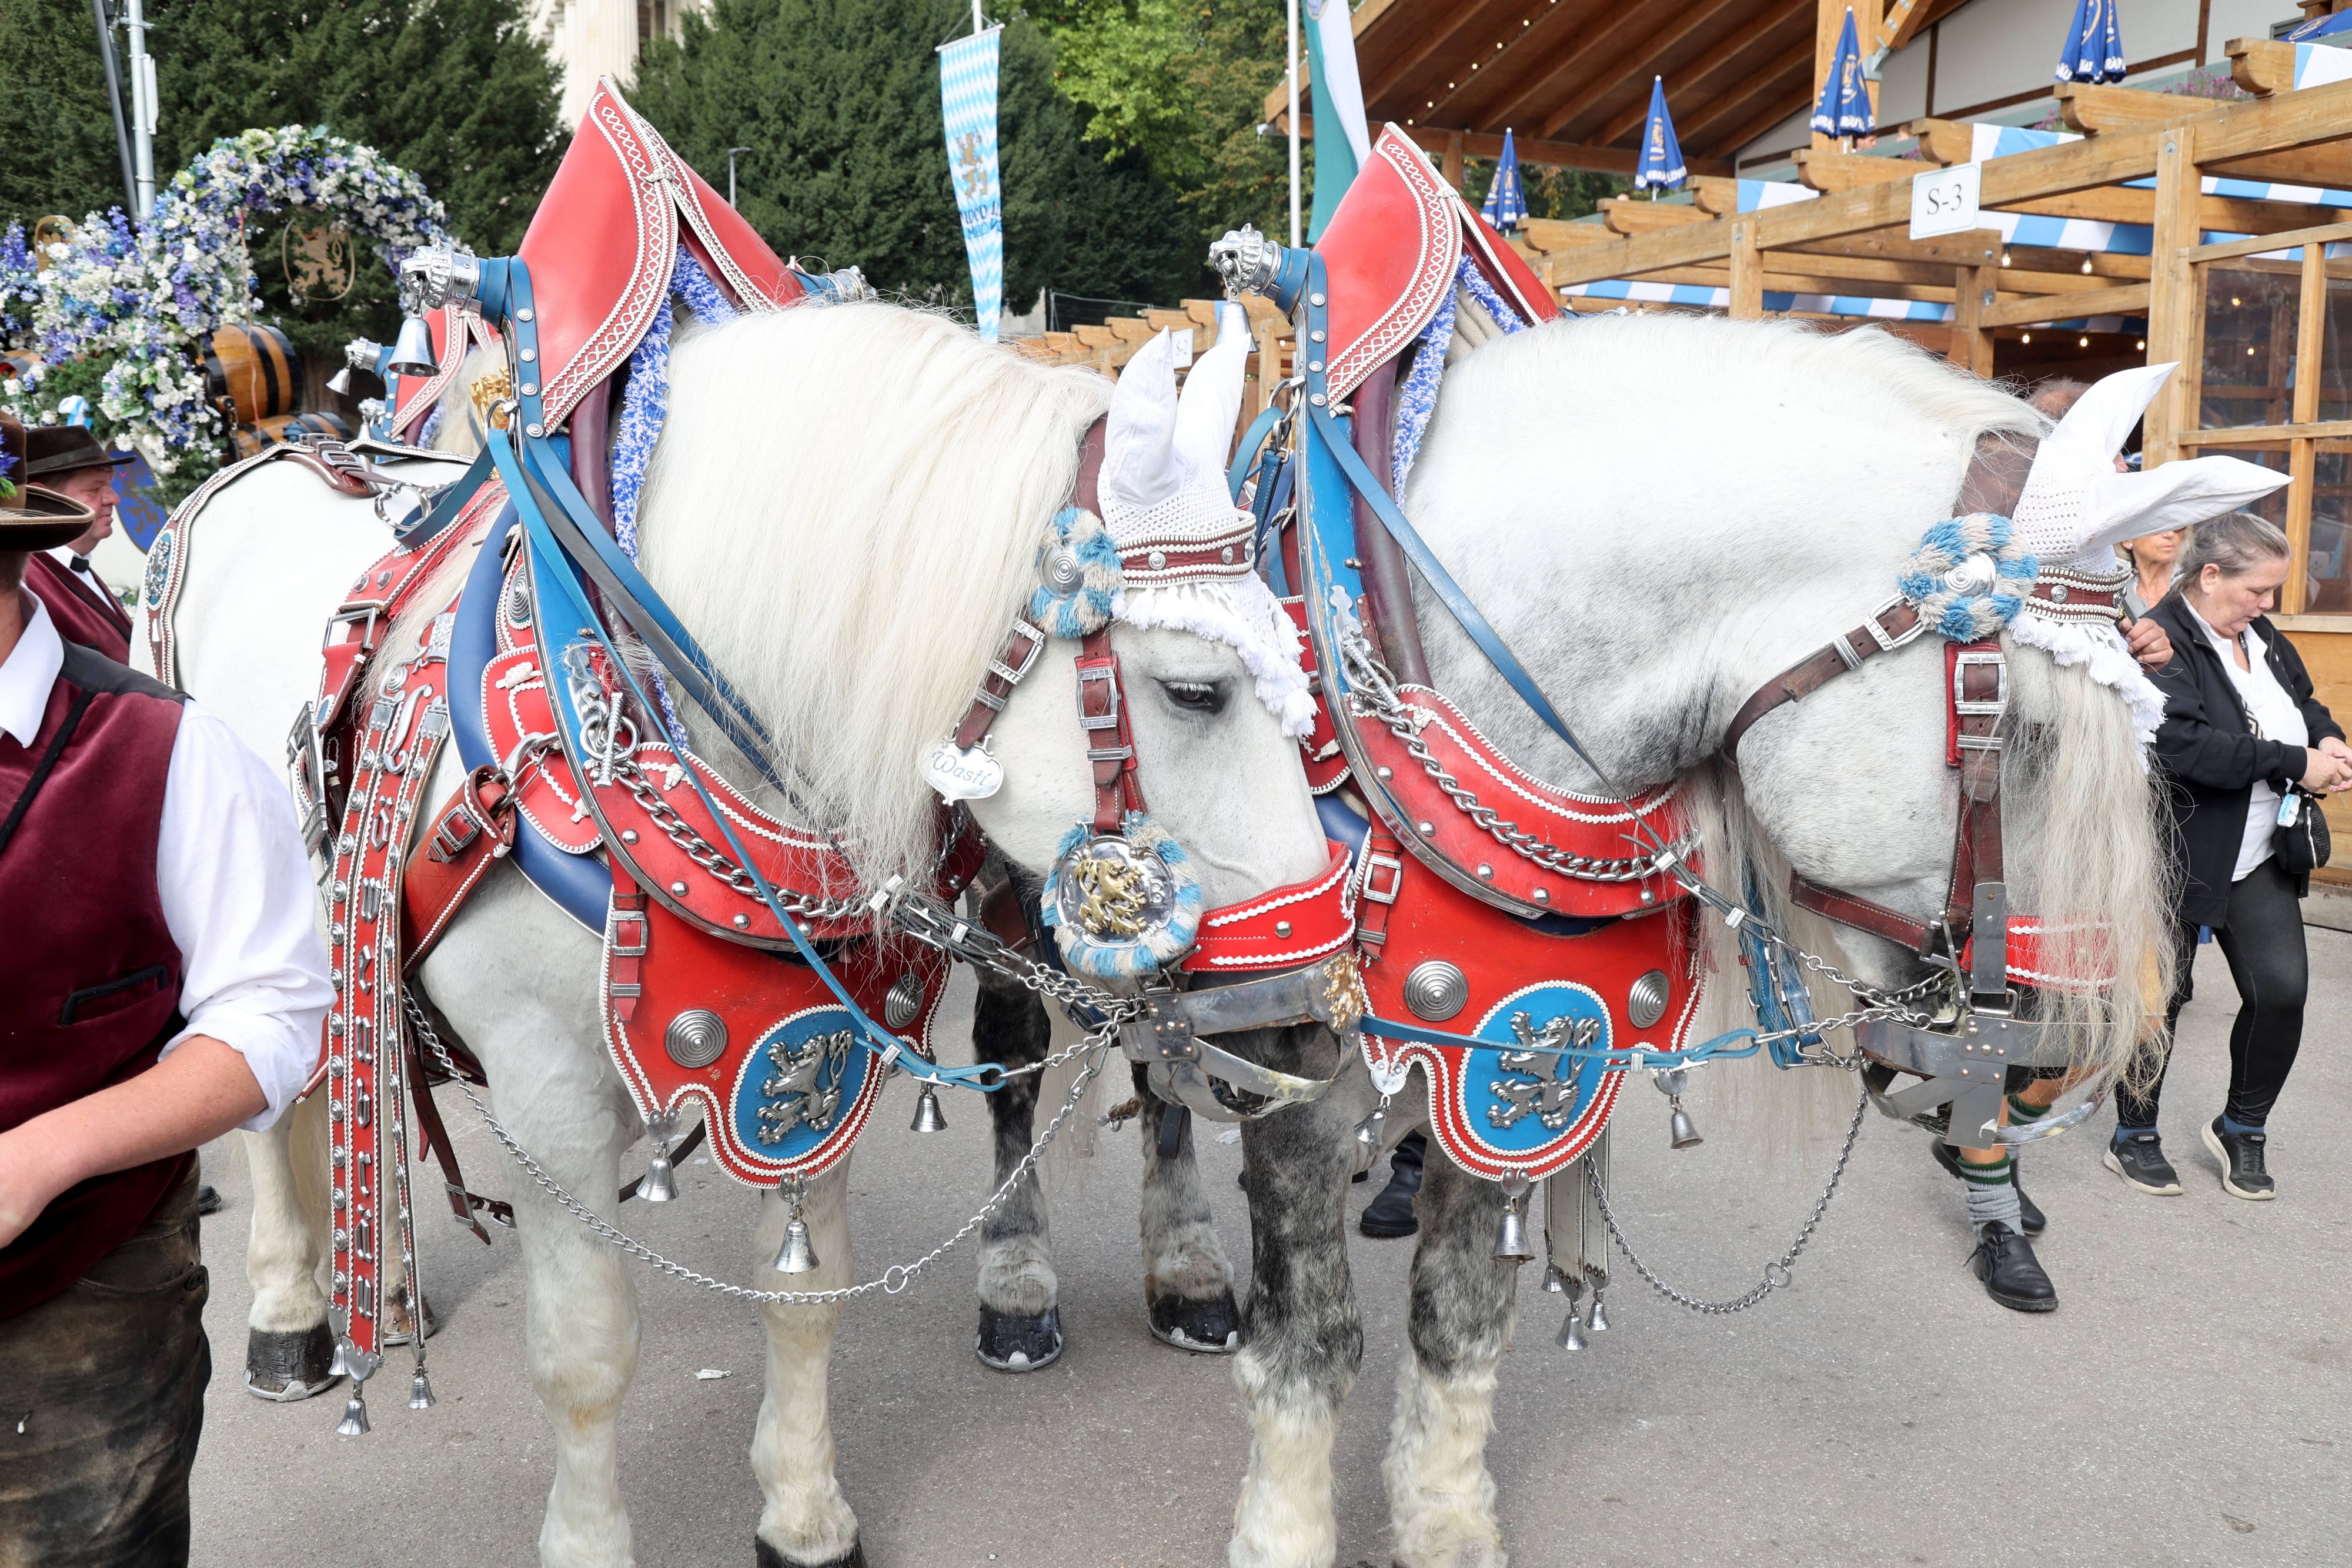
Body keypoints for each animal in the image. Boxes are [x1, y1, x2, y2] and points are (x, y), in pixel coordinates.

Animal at [151, 297, 1342, 1567]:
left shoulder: (811, 1060)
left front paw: (805, 1517)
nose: (1308, 1024)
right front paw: (589, 1543)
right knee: (269, 1108)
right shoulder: (550, 1100)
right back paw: (292, 1311)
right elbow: (585, 1354)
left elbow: (805, 1298)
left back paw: (375, 1281)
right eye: (1194, 692)